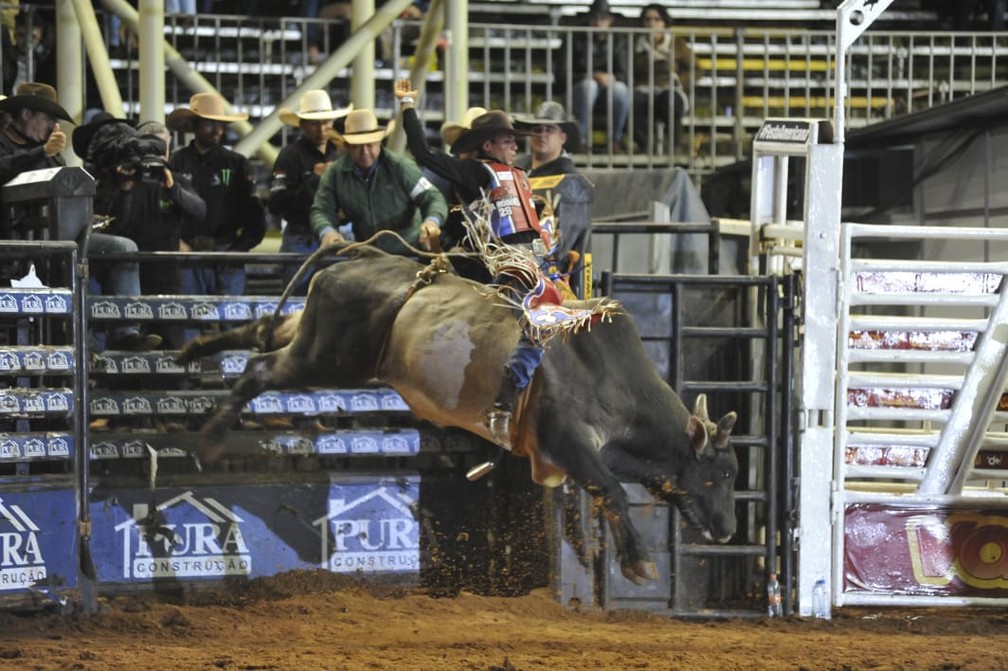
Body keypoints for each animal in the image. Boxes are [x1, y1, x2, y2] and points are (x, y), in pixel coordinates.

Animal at [177, 242, 737, 584]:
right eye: (717, 476)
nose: (728, 529)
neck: (612, 377)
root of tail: (356, 256)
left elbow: (602, 493)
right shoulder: (567, 441)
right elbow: (612, 489)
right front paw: (640, 563)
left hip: (315, 335)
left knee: (262, 333)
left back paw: (193, 349)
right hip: (328, 357)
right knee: (260, 368)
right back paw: (209, 440)